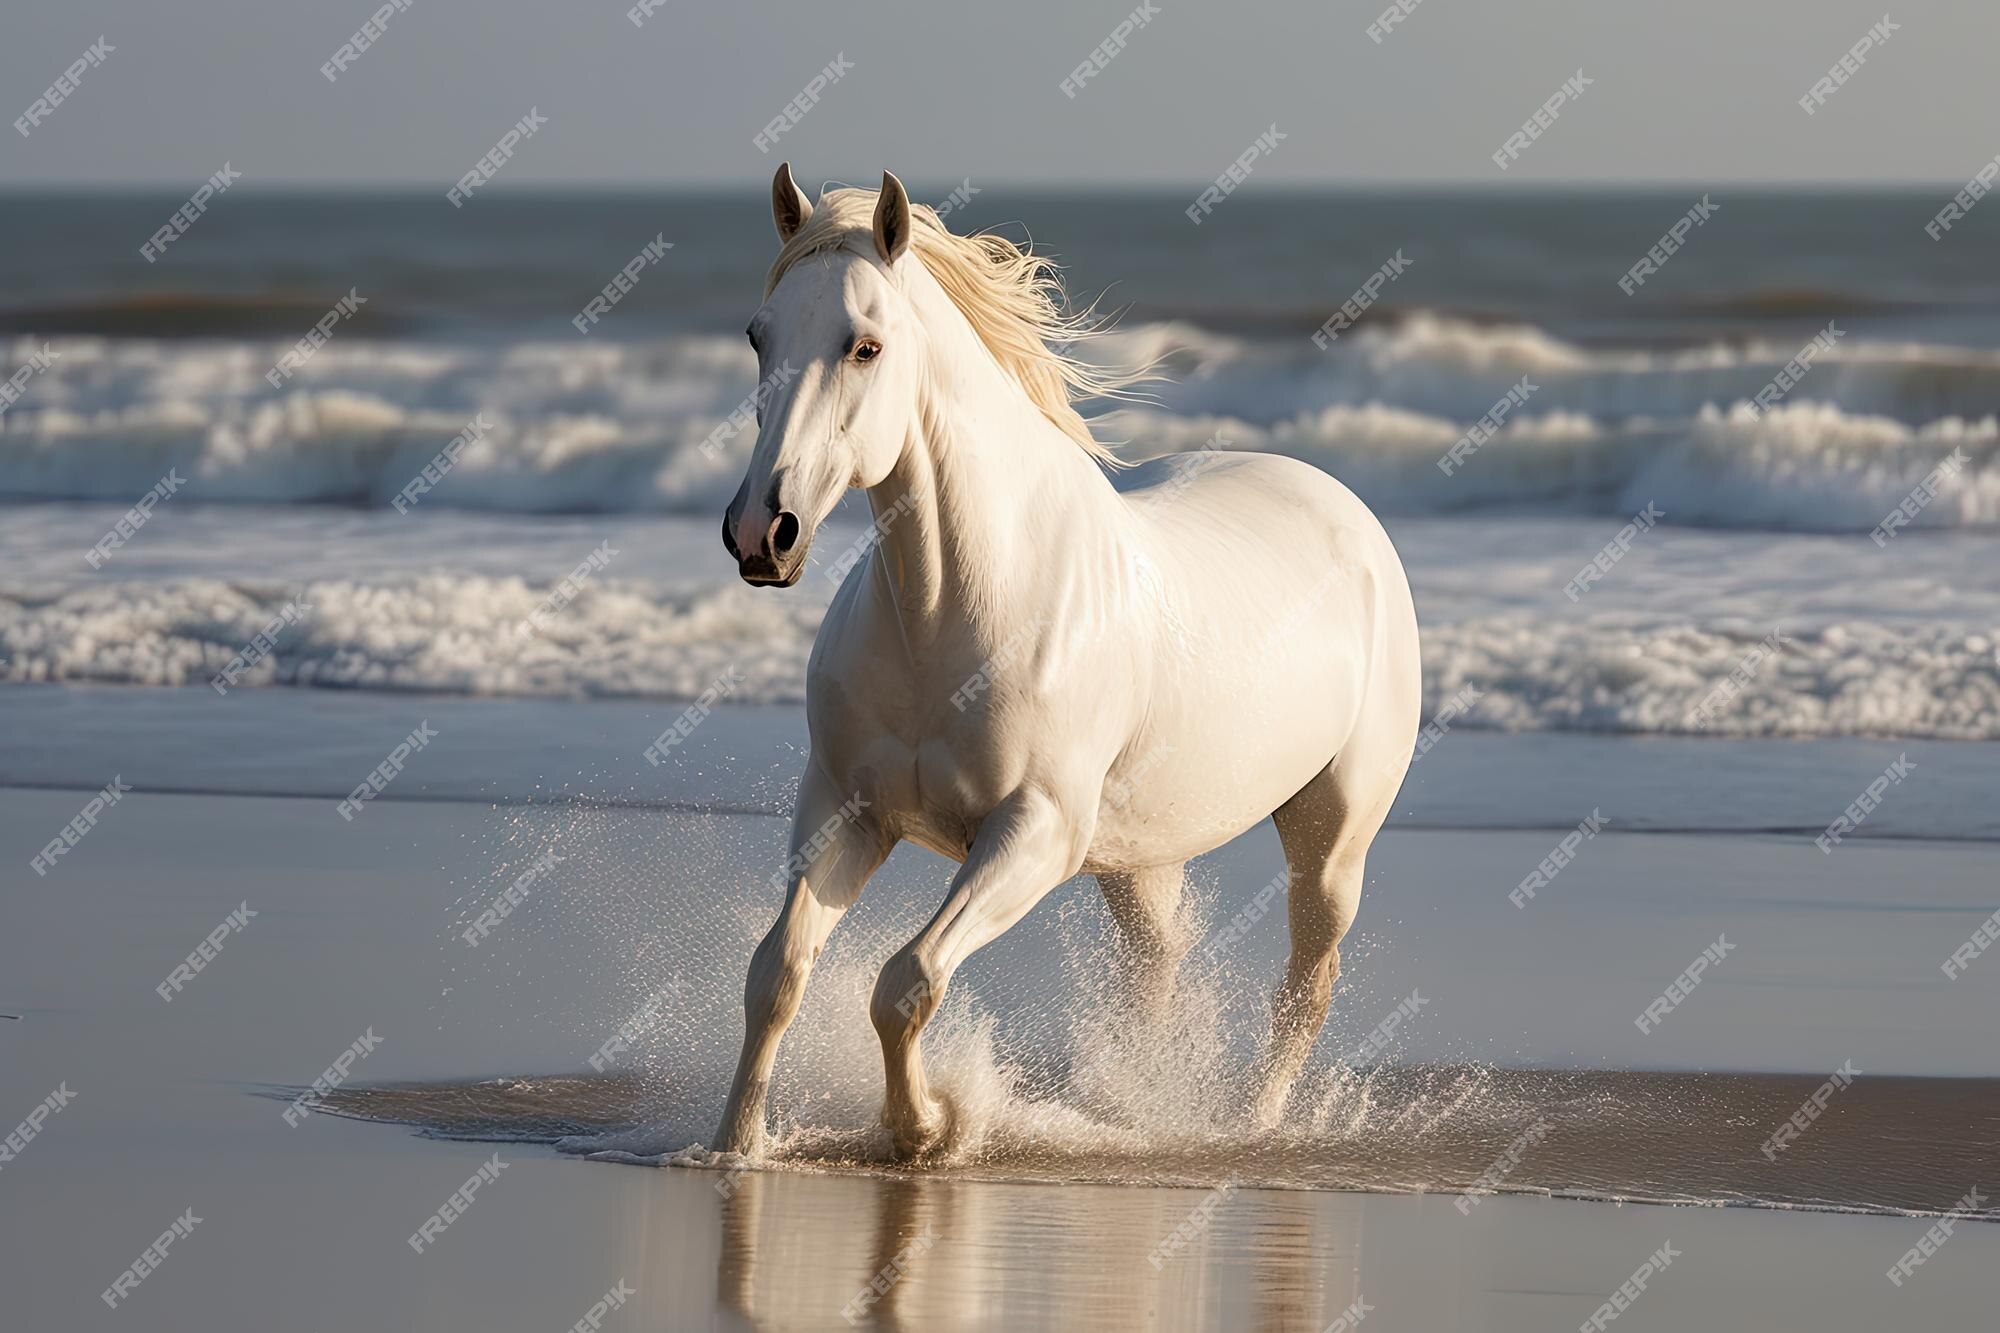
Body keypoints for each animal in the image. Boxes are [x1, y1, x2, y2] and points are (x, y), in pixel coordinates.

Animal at [720, 166, 1424, 1160]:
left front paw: (925, 1128)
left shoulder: (1034, 833)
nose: (762, 534)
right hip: (1138, 857)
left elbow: (906, 982)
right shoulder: (844, 812)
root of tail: (1343, 507)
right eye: (759, 334)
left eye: (866, 345)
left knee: (1304, 987)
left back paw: (1247, 1127)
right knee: (1156, 972)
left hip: (1331, 839)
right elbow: (776, 973)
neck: (957, 610)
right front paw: (736, 1143)